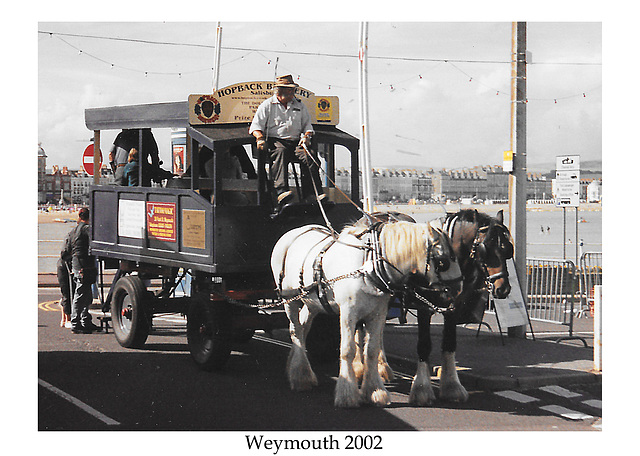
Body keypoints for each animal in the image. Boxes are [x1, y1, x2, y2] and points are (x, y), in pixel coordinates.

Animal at [272, 220, 462, 406]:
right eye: (443, 260)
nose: (458, 288)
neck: (367, 267)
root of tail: (291, 232)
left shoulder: (377, 314)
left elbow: (371, 350)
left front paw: (374, 391)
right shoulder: (348, 313)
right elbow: (347, 350)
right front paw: (347, 394)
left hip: (311, 303)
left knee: (303, 327)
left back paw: (295, 366)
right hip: (289, 300)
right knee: (295, 330)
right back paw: (300, 376)